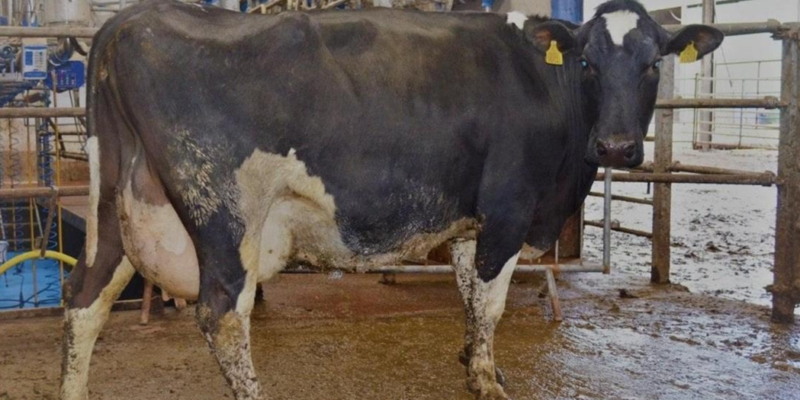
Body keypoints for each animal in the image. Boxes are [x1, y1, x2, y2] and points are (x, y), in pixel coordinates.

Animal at [60, 1, 722, 399]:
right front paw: (488, 380)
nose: (616, 146)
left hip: (115, 207)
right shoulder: (508, 212)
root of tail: (131, 19)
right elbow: (492, 303)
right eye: (588, 62)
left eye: (653, 64)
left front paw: (473, 362)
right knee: (221, 313)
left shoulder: (467, 222)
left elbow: (469, 297)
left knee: (84, 299)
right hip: (223, 213)